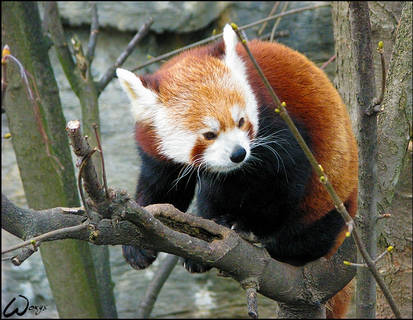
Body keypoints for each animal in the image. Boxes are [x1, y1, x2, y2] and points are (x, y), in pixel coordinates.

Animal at [116, 24, 358, 318]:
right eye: (209, 134)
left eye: (241, 121)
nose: (238, 153)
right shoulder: (157, 152)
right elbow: (162, 191)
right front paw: (138, 244)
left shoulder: (280, 124)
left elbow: (282, 182)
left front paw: (247, 225)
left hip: (332, 196)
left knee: (313, 226)